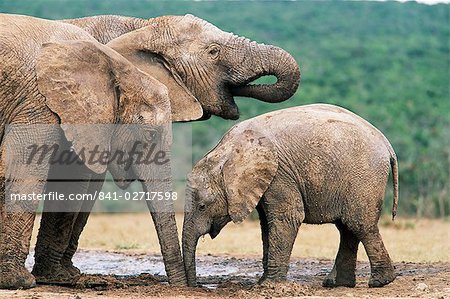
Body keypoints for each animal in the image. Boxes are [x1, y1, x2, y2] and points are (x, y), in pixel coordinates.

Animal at [181, 104, 400, 290]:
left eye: (202, 206)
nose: (197, 286)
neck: (226, 152)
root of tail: (386, 143)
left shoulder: (279, 174)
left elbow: (286, 219)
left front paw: (268, 285)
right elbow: (266, 224)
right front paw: (262, 282)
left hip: (364, 176)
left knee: (358, 223)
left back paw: (380, 282)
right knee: (347, 227)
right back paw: (338, 284)